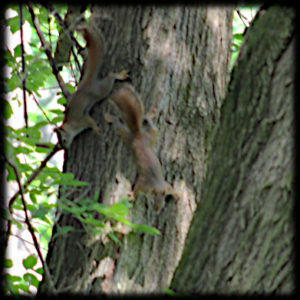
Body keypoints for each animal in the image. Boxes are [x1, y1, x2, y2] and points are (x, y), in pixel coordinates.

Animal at [105, 84, 176, 213]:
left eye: (162, 204)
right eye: (152, 201)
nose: (156, 211)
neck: (157, 185)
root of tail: (139, 136)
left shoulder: (165, 186)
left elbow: (170, 188)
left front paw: (176, 194)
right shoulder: (143, 185)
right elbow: (137, 188)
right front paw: (132, 196)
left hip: (151, 137)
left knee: (149, 124)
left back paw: (150, 115)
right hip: (128, 139)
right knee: (120, 125)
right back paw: (111, 118)